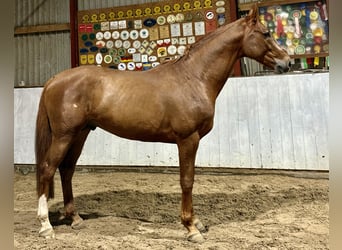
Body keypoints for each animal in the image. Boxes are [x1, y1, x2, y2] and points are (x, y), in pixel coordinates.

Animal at [36, 6, 290, 242]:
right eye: (266, 33)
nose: (286, 62)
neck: (193, 78)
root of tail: (54, 80)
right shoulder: (188, 139)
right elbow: (187, 180)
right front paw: (191, 228)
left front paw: (197, 222)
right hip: (64, 135)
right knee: (48, 169)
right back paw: (46, 226)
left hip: (80, 134)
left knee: (66, 170)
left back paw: (75, 218)